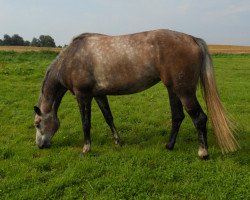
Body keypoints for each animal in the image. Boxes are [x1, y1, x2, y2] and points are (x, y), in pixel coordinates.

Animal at [33, 28, 238, 159]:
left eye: (37, 124)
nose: (40, 146)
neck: (71, 58)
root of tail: (192, 38)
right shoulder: (99, 95)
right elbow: (108, 117)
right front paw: (117, 141)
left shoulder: (83, 96)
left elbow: (86, 124)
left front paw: (86, 149)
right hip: (172, 89)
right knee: (177, 117)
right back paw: (169, 146)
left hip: (184, 91)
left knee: (199, 118)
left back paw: (203, 153)